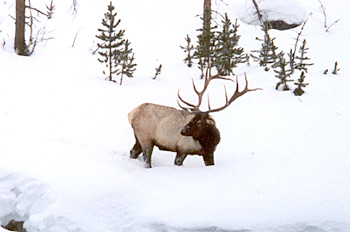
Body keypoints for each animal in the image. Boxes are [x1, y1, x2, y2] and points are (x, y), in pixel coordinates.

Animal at [128, 68, 260, 168]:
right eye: (192, 119)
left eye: (199, 122)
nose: (182, 131)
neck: (208, 142)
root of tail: (131, 114)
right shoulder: (182, 148)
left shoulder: (209, 153)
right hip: (146, 138)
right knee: (146, 159)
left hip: (138, 138)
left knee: (133, 152)